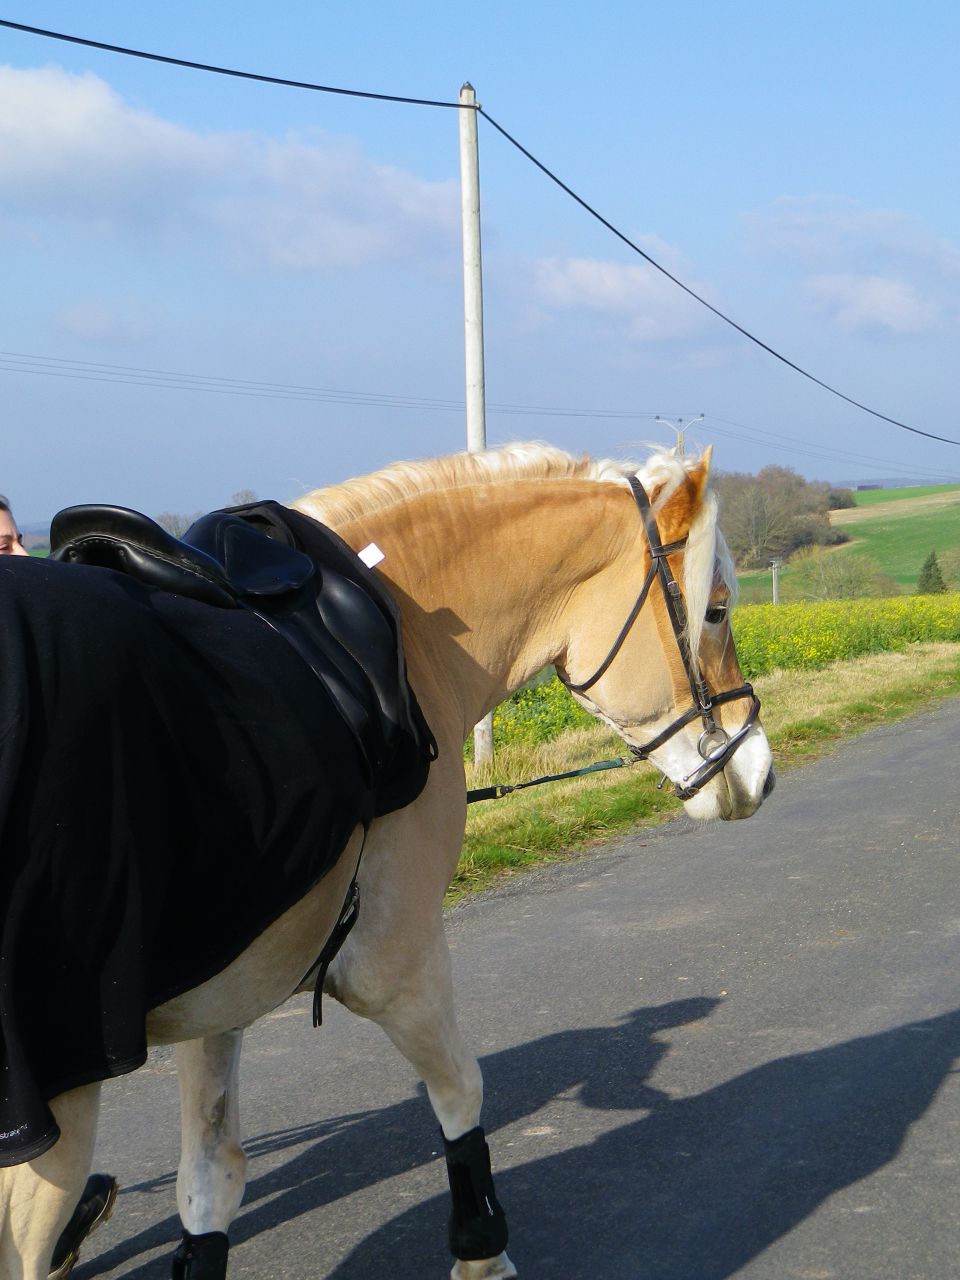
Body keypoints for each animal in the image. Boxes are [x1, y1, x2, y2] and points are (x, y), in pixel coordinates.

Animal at [0, 442, 774, 1279]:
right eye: (717, 607)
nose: (759, 771)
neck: (408, 632)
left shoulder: (224, 993)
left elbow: (210, 1181)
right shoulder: (394, 961)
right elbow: (460, 1096)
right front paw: (482, 1253)